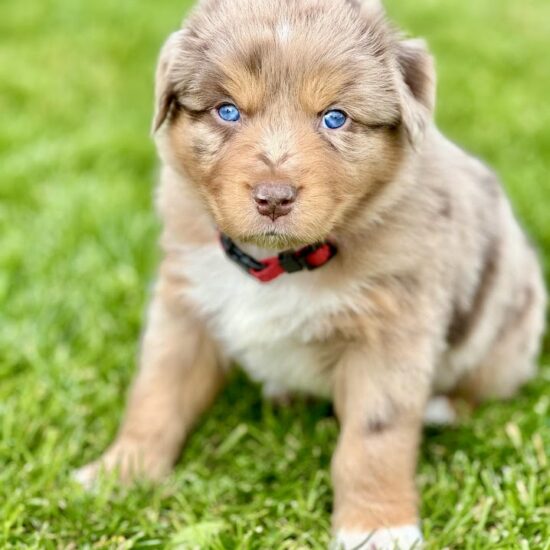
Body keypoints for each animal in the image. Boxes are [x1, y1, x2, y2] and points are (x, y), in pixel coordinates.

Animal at [76, 1, 548, 548]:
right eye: (227, 110)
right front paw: (120, 474)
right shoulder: (184, 306)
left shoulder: (391, 333)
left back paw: (441, 408)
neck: (279, 263)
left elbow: (373, 439)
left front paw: (376, 527)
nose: (274, 198)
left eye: (335, 118)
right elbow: (155, 395)